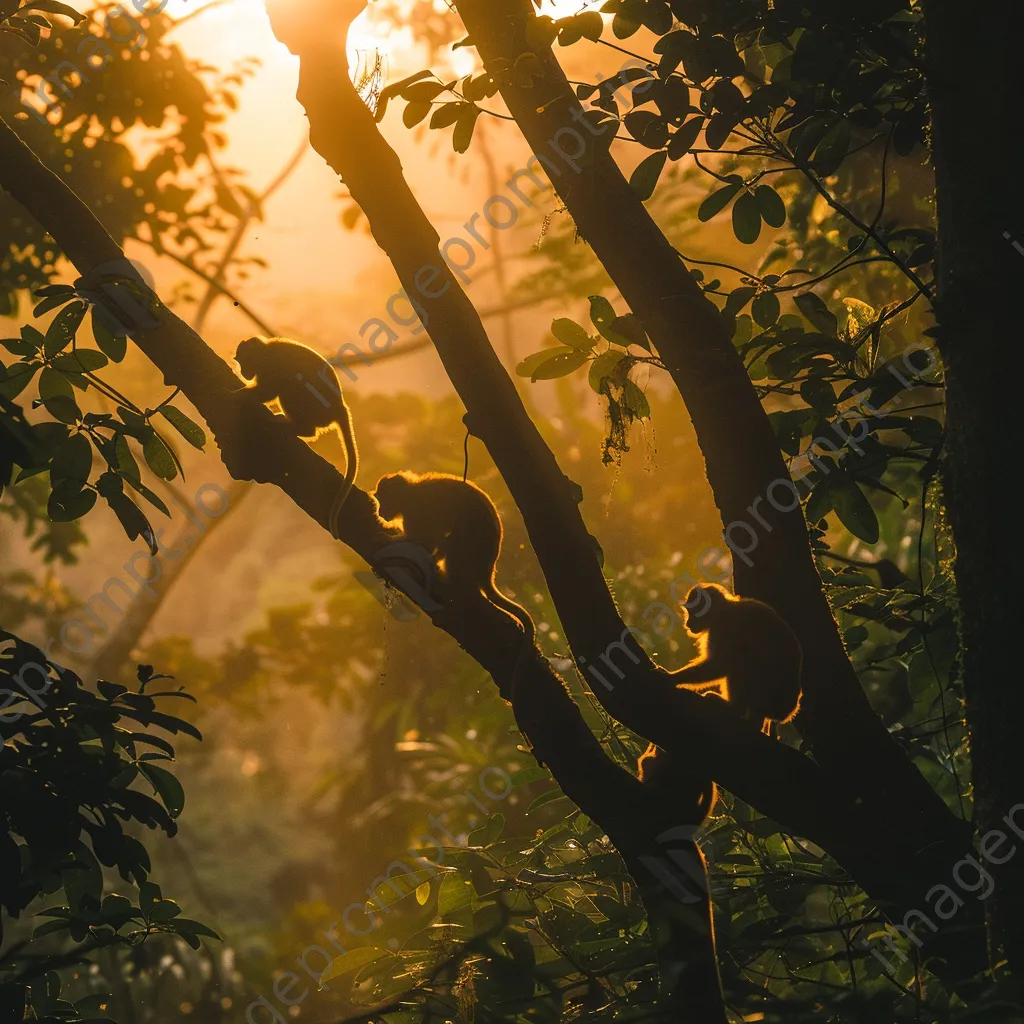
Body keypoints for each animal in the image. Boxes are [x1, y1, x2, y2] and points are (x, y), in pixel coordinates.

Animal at [235, 337, 360, 544]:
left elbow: (268, 391)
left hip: (314, 406)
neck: (265, 351)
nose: (243, 372)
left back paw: (300, 429)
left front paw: (238, 393)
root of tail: (339, 407)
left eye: (243, 360)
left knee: (291, 385)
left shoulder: (271, 367)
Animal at [374, 468, 536, 643]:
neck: (411, 492)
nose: (380, 512)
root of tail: (487, 573)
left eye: (383, 500)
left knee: (456, 535)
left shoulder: (417, 510)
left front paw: (389, 541)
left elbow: (425, 541)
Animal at [671, 581, 806, 733]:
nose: (688, 623)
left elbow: (720, 665)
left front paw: (673, 677)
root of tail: (786, 712)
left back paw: (735, 709)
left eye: (693, 612)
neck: (722, 612)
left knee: (740, 659)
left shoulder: (723, 629)